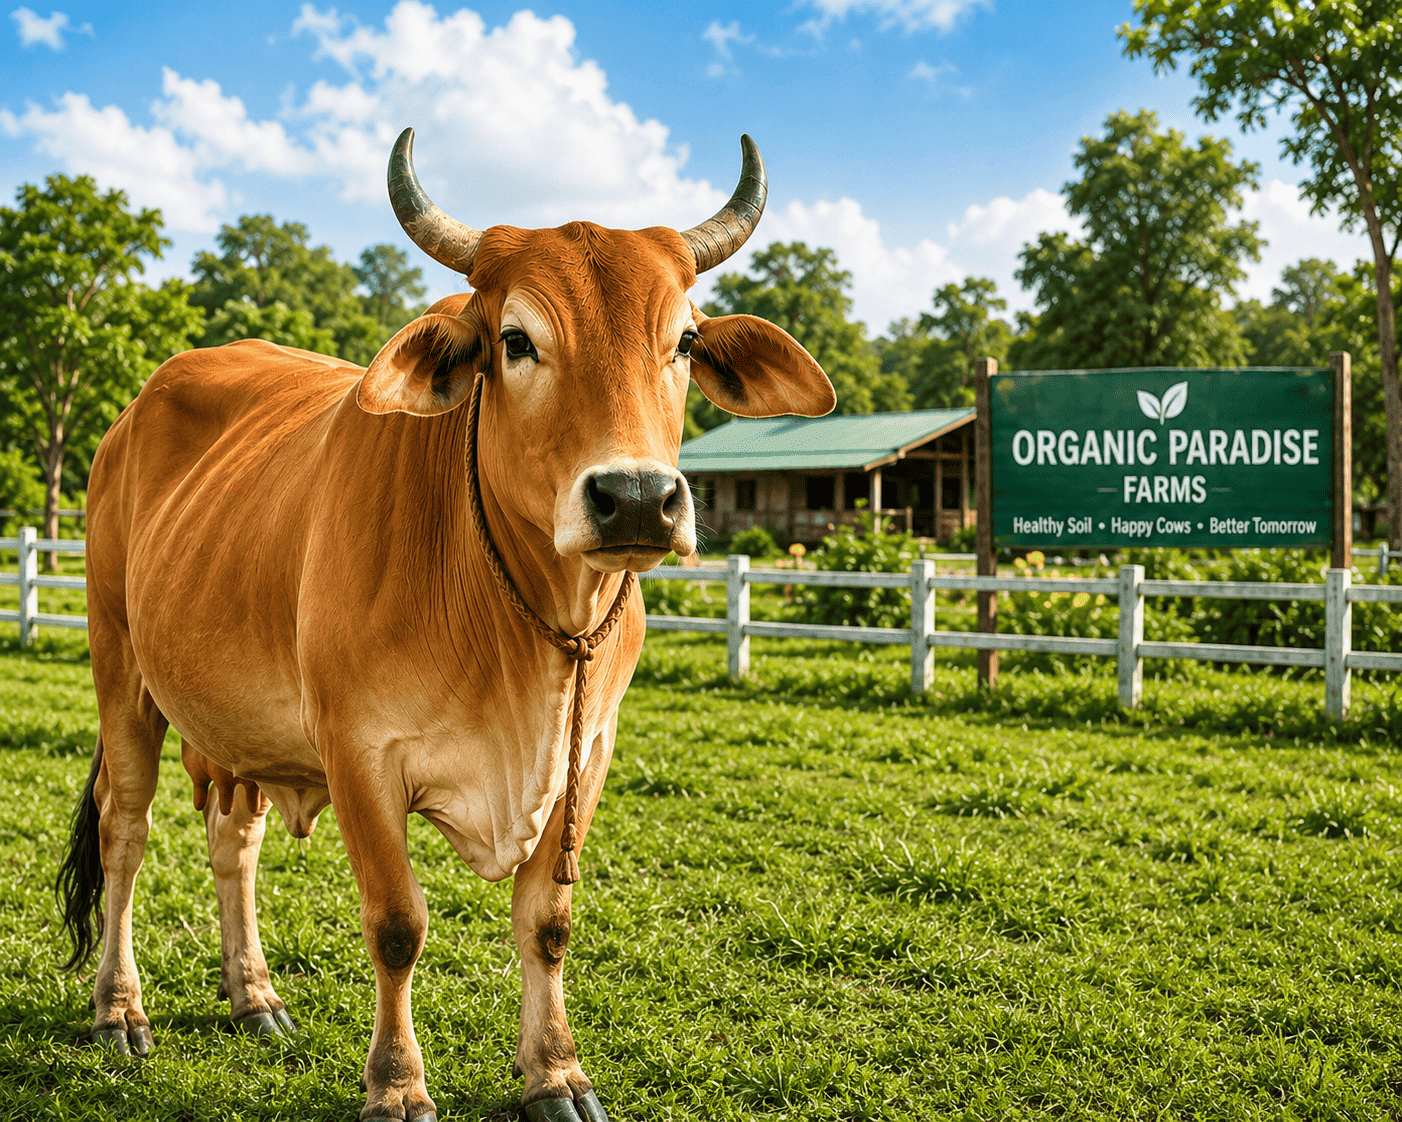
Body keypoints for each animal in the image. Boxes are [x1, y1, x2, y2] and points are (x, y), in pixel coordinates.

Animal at [54, 128, 834, 1122]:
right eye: (516, 340)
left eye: (686, 341)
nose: (635, 498)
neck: (523, 630)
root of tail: (137, 409)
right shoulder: (357, 752)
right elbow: (397, 925)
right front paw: (397, 1084)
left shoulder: (588, 753)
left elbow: (547, 924)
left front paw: (556, 1073)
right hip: (120, 667)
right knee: (125, 832)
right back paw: (119, 1010)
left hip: (238, 727)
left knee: (235, 842)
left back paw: (254, 995)